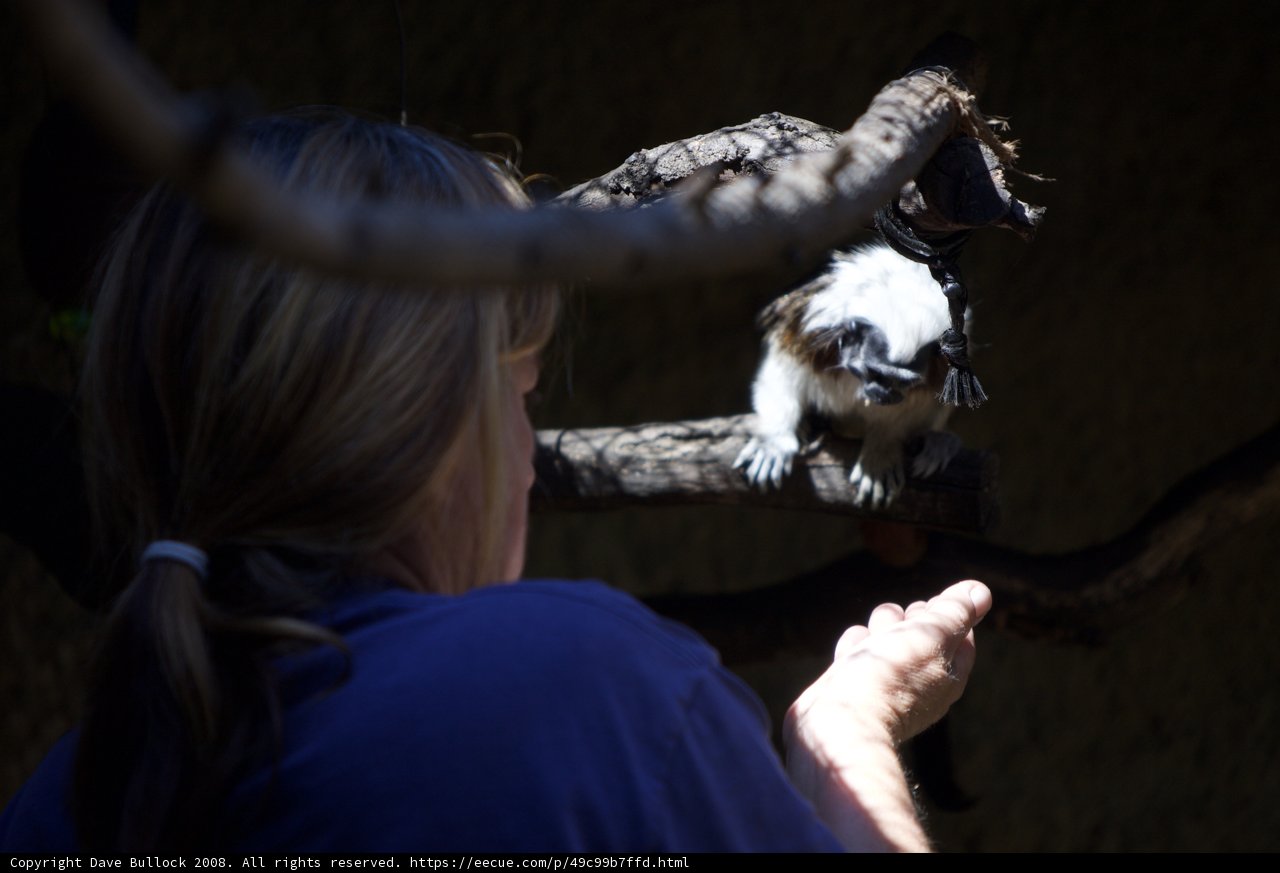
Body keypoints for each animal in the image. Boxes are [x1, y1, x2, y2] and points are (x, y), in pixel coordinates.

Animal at [733, 241, 967, 509]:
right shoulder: (807, 331)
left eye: (900, 381)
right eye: (874, 372)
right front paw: (774, 440)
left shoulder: (941, 364)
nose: (884, 394)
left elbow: (913, 407)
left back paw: (940, 443)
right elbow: (782, 374)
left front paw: (881, 450)